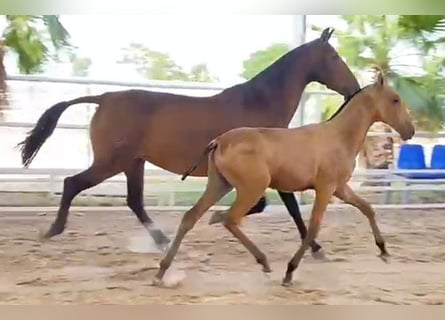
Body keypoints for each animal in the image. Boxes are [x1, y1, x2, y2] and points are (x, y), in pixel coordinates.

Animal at [16, 28, 360, 252]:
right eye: (332, 56)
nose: (354, 89)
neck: (258, 103)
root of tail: (103, 98)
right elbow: (279, 205)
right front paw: (315, 247)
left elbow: (274, 205)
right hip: (111, 162)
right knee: (73, 183)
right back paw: (53, 230)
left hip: (133, 163)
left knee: (134, 201)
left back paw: (162, 241)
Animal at [154, 72, 414, 288]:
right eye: (395, 100)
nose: (410, 131)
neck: (339, 136)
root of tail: (219, 141)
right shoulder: (326, 187)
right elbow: (313, 227)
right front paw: (289, 271)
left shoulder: (340, 188)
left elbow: (367, 208)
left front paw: (384, 251)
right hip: (251, 188)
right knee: (230, 219)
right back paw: (263, 261)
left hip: (220, 185)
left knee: (191, 217)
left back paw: (162, 271)